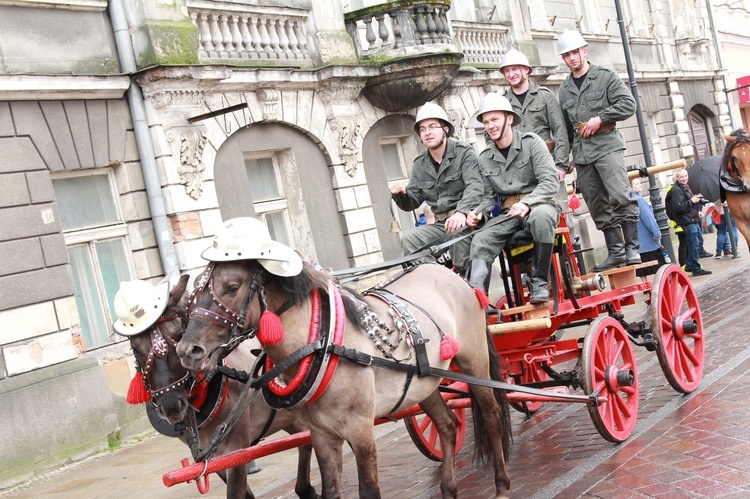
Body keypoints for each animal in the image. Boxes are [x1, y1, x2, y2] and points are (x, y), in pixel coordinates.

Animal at [179, 260, 516, 498]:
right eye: (192, 297)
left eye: (231, 287)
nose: (187, 350)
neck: (324, 343)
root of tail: (451, 273)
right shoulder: (322, 436)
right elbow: (331, 490)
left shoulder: (361, 430)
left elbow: (369, 490)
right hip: (424, 383)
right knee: (447, 424)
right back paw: (448, 488)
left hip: (474, 362)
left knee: (492, 415)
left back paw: (501, 486)